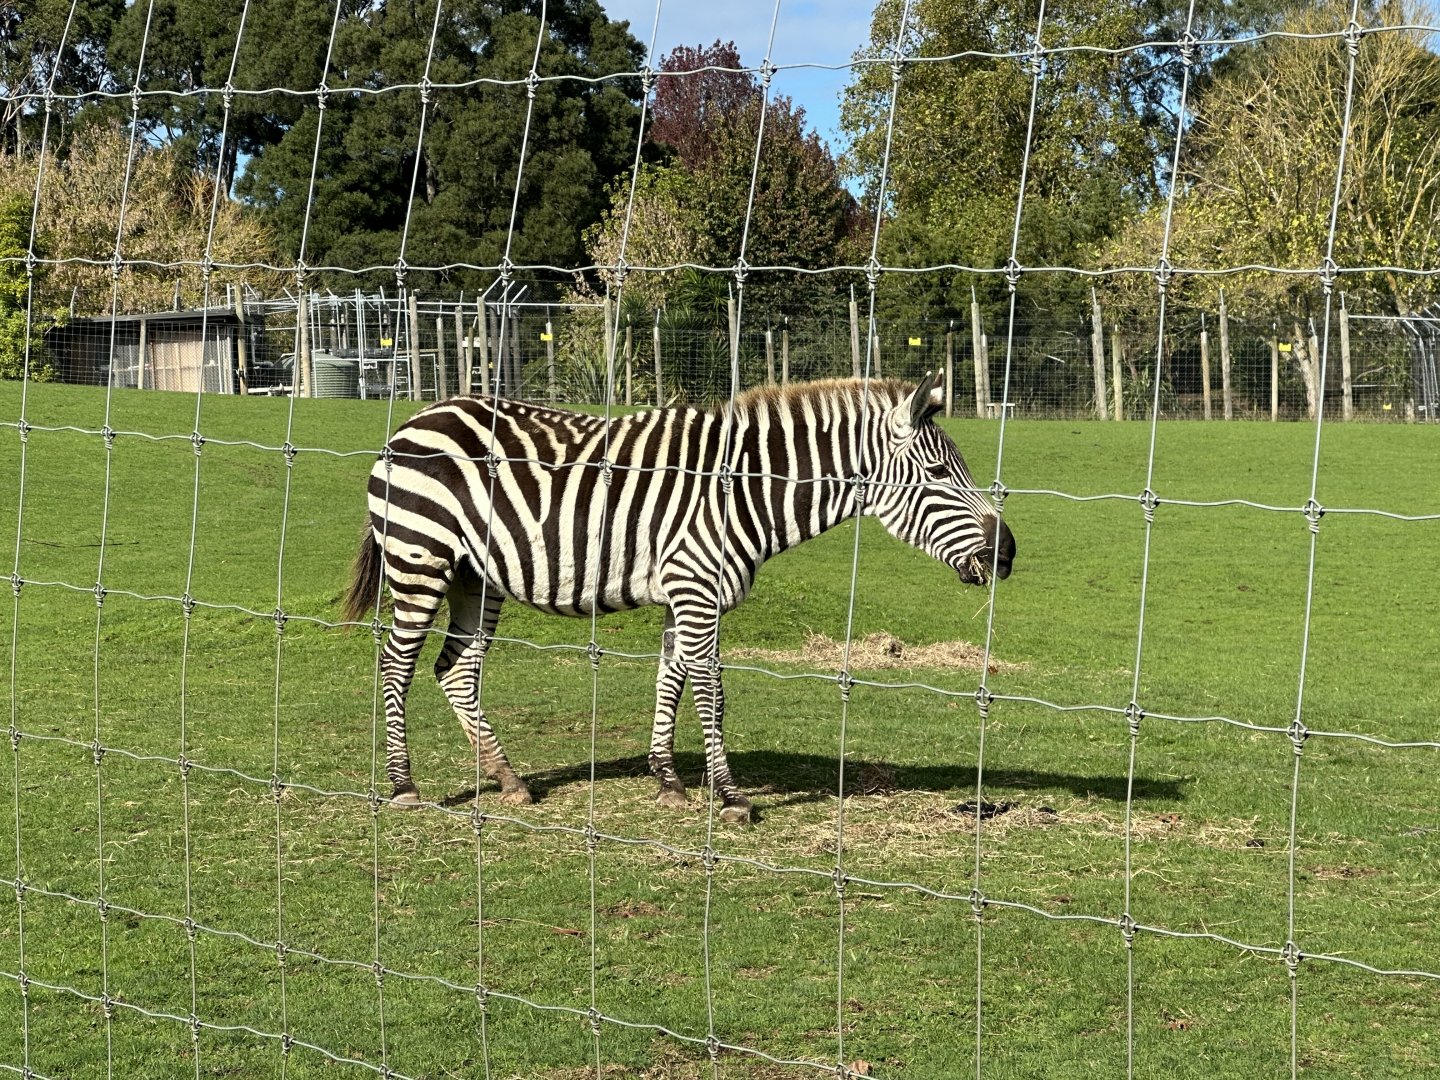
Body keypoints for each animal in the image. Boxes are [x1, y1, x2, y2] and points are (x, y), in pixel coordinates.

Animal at [342, 373, 1016, 824]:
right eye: (939, 476)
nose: (1007, 553)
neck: (744, 489)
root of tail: (415, 420)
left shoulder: (683, 594)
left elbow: (672, 679)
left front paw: (667, 781)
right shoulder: (695, 588)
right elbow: (713, 695)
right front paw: (732, 799)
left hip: (472, 576)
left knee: (456, 669)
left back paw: (507, 779)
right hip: (420, 558)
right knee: (397, 664)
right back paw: (403, 786)